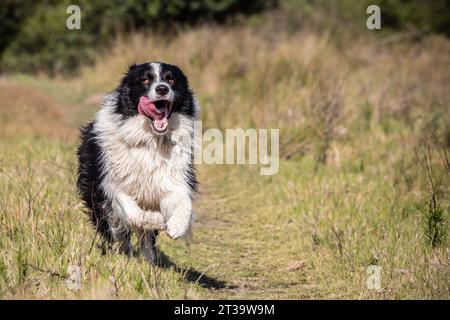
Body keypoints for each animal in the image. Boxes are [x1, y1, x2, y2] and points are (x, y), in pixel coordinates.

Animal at [77, 61, 199, 264]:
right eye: (145, 80)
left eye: (171, 80)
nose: (162, 88)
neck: (150, 140)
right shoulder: (111, 186)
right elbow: (133, 213)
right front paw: (157, 219)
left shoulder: (171, 179)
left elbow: (183, 201)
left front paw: (177, 225)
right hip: (95, 193)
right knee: (116, 230)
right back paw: (122, 254)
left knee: (145, 238)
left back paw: (149, 259)